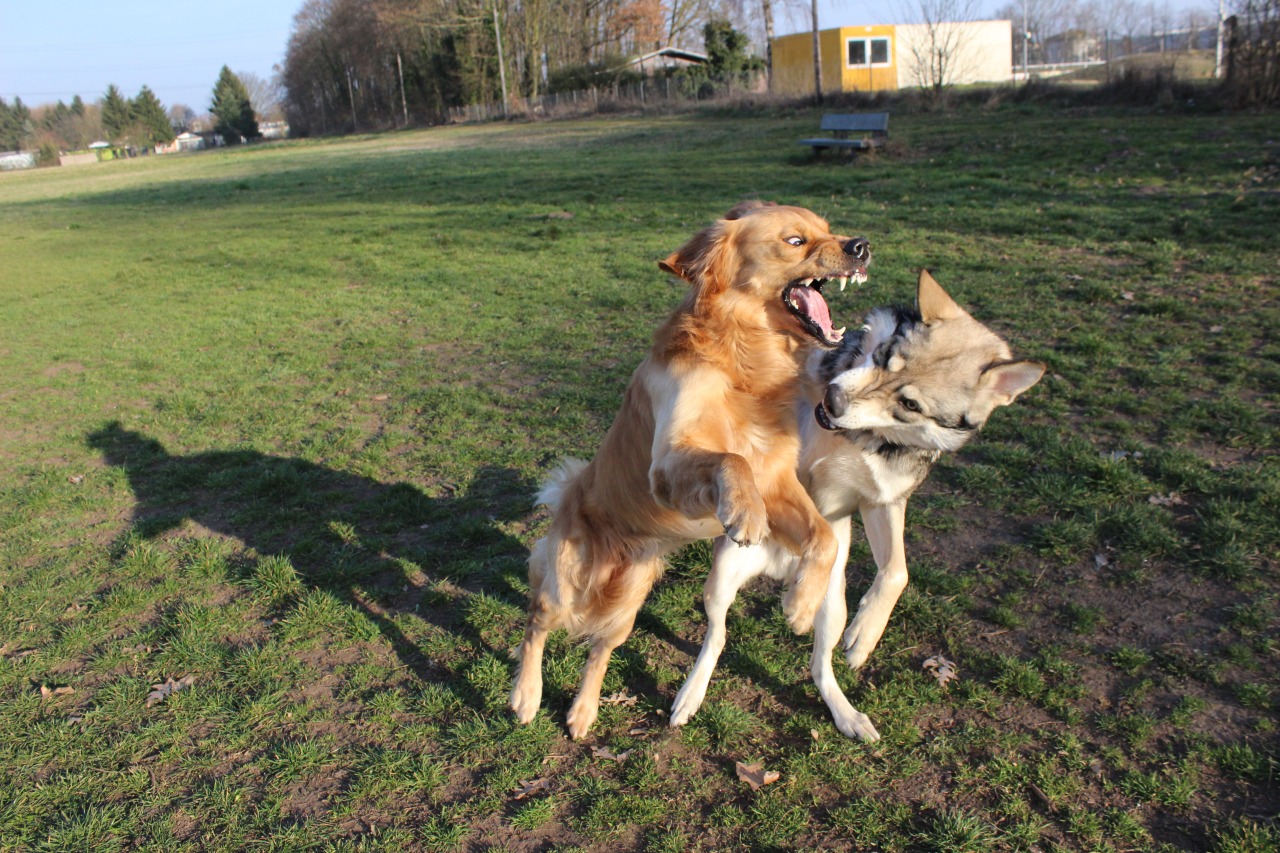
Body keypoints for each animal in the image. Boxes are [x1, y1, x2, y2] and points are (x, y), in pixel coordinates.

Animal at [509, 202, 870, 732]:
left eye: (828, 228)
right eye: (796, 241)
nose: (861, 246)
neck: (744, 358)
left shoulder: (777, 480)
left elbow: (822, 536)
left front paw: (801, 605)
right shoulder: (669, 465)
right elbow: (730, 458)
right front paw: (744, 515)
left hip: (629, 600)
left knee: (600, 648)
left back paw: (582, 711)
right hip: (564, 581)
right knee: (537, 621)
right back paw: (526, 696)